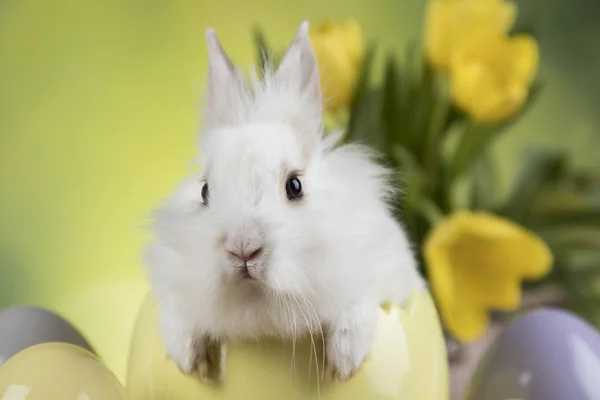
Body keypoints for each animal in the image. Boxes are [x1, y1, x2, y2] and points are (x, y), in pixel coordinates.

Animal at [144, 20, 426, 382]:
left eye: (295, 185)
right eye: (205, 191)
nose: (243, 249)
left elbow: (358, 308)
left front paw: (343, 364)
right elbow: (176, 316)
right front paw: (190, 361)